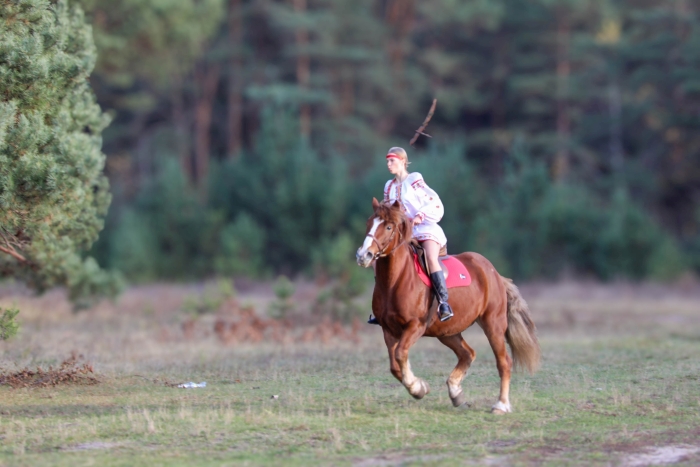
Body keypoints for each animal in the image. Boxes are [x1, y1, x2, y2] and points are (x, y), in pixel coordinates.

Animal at [355, 198, 540, 413]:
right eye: (369, 223)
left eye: (388, 226)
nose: (363, 255)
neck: (396, 280)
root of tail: (494, 274)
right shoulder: (388, 329)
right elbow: (395, 366)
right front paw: (420, 387)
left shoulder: (415, 326)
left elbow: (401, 354)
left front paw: (417, 387)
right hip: (447, 331)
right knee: (467, 354)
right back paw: (456, 393)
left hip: (493, 324)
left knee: (503, 362)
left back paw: (501, 405)